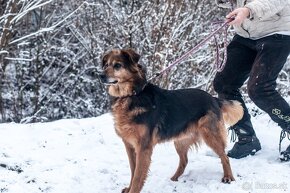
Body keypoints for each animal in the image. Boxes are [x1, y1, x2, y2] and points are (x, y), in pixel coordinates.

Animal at [98, 48, 244, 193]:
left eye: (117, 65)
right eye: (106, 65)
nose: (100, 75)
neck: (132, 94)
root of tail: (213, 99)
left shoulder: (143, 147)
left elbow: (138, 176)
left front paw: (133, 190)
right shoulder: (129, 145)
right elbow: (133, 171)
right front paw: (129, 188)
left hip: (211, 136)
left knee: (224, 156)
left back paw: (228, 177)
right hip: (180, 141)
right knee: (184, 161)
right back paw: (174, 178)